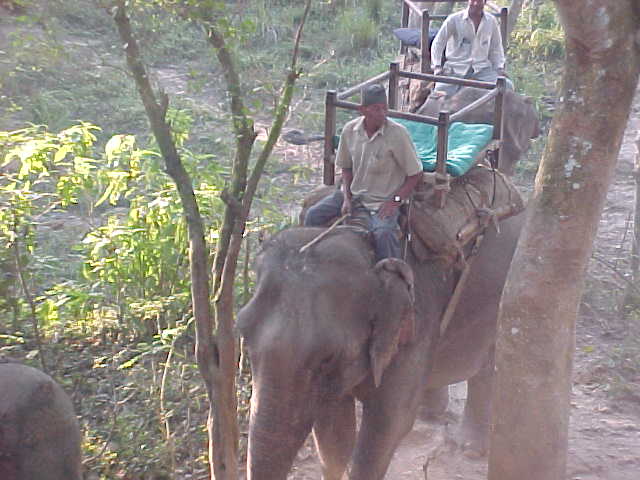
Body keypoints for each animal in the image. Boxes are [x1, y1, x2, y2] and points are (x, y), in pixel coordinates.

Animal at [238, 214, 524, 480]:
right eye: (243, 333)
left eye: (328, 358)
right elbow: (334, 431)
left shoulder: (416, 319)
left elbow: (388, 424)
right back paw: (432, 414)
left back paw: (469, 449)